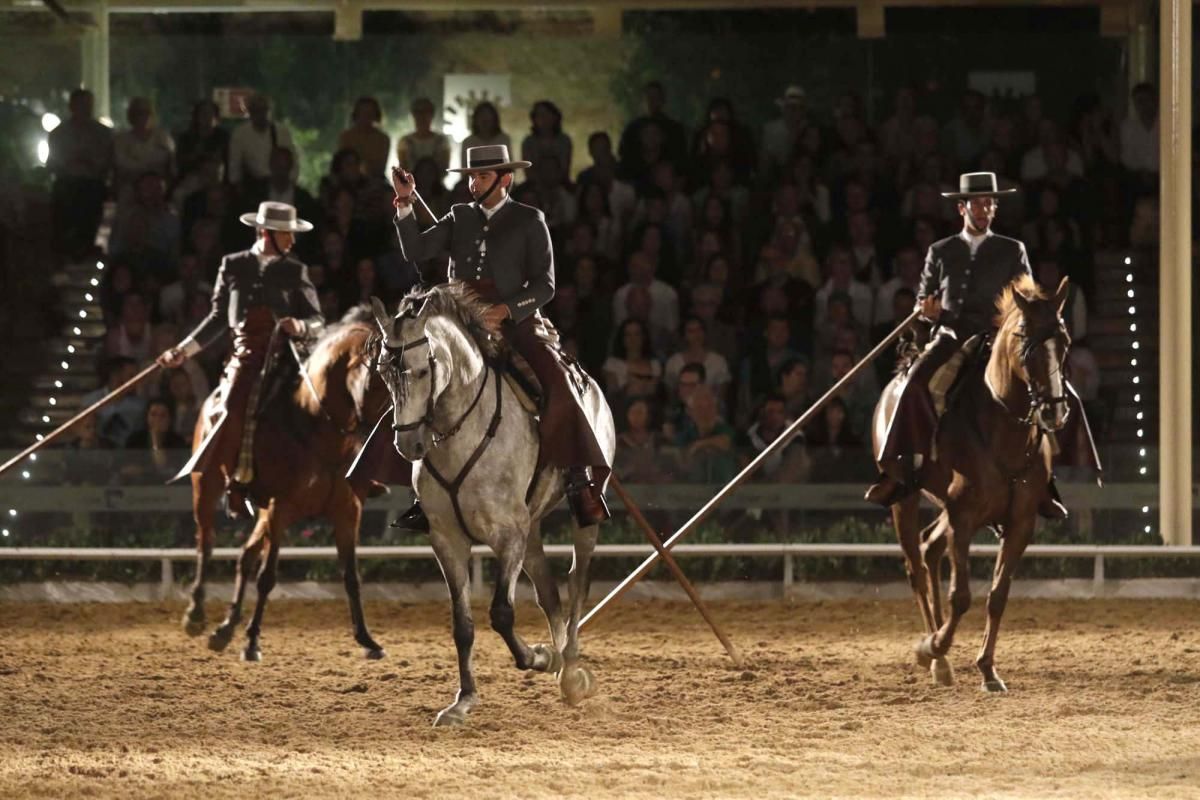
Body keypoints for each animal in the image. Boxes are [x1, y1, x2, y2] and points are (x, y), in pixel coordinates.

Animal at [180, 309, 391, 662]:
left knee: (245, 556)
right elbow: (267, 577)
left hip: (262, 511)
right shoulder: (281, 509)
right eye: (377, 377)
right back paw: (196, 613)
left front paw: (366, 639)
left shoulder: (347, 512)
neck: (317, 429)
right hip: (206, 486)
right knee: (206, 541)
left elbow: (351, 577)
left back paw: (225, 628)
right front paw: (252, 641)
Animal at [367, 287, 614, 724]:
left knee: (576, 582)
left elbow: (501, 612)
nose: (408, 444)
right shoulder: (448, 540)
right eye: (382, 372)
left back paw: (570, 667)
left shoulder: (507, 536)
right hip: (531, 530)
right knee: (548, 591)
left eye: (423, 371)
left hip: (582, 519)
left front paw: (539, 658)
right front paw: (463, 700)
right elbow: (462, 624)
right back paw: (563, 666)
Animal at [873, 277, 1070, 695]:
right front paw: (931, 647)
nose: (1053, 411)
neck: (1002, 430)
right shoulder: (963, 518)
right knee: (916, 567)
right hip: (905, 499)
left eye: (1063, 341)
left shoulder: (1019, 524)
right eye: (1025, 339)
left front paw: (988, 670)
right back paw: (937, 660)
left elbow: (997, 595)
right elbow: (960, 596)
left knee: (930, 550)